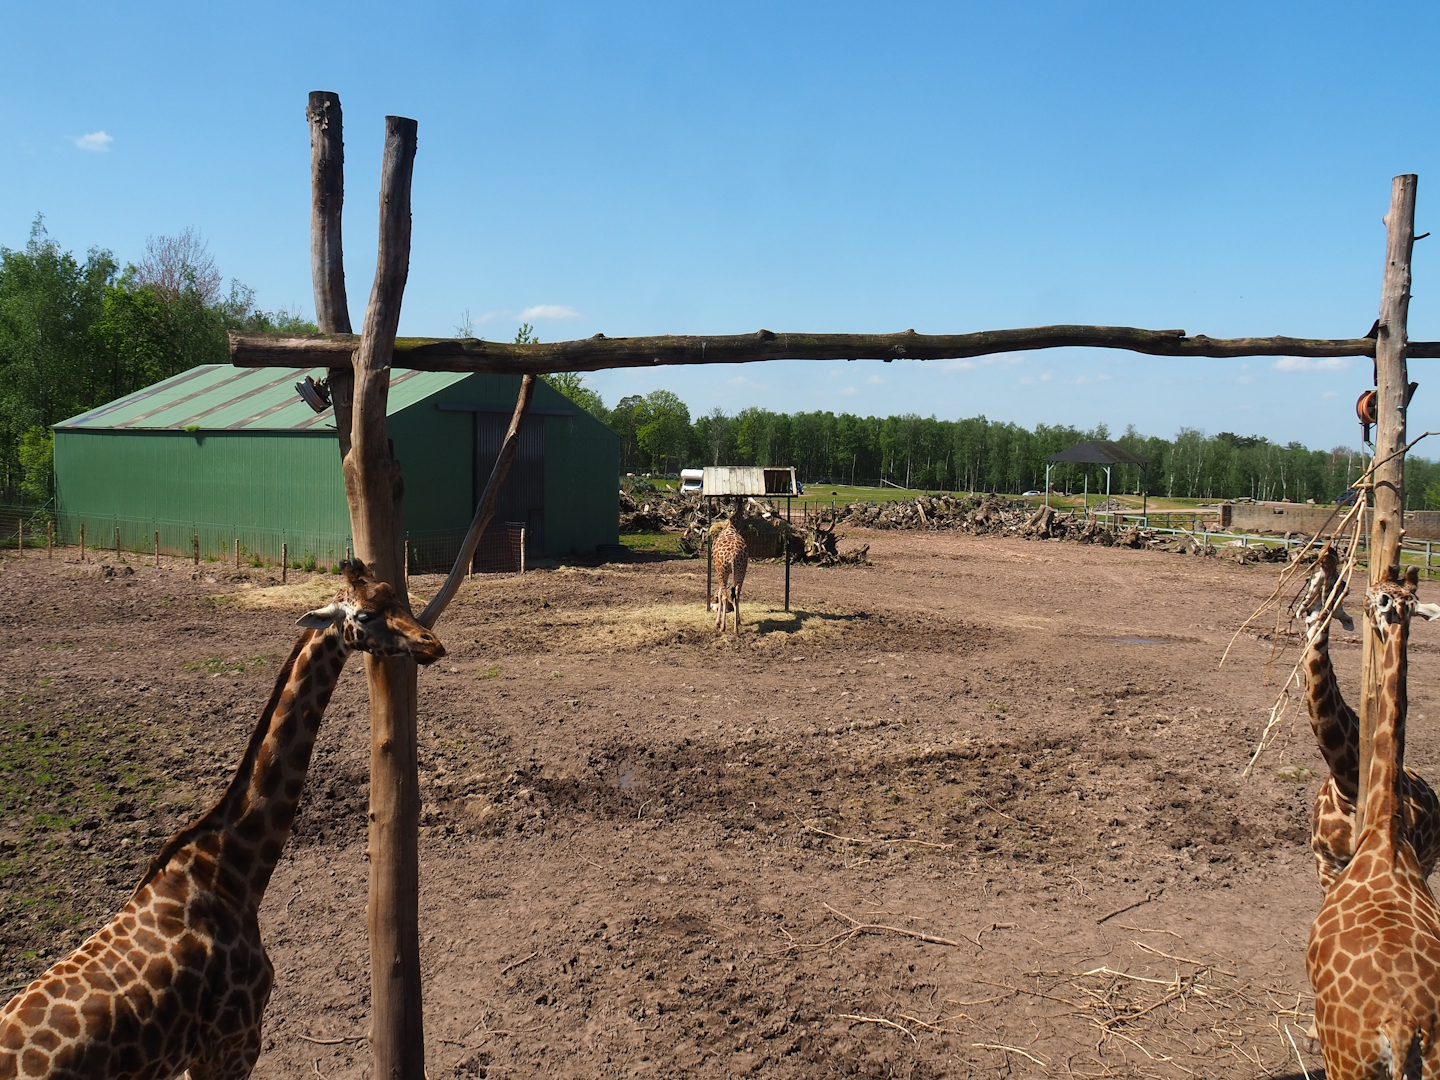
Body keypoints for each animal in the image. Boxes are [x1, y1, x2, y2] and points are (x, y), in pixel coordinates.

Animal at [711, 500, 749, 635]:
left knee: (725, 595)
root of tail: (732, 556)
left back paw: (723, 627)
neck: (730, 525)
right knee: (736, 594)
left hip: (723, 571)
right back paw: (735, 629)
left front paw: (717, 623)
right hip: (741, 570)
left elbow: (720, 593)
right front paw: (738, 620)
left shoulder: (718, 570)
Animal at [1298, 547, 1440, 890]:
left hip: (1427, 861)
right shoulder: (1326, 862)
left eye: (1344, 587)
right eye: (1310, 578)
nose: (1329, 555)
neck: (1347, 782)